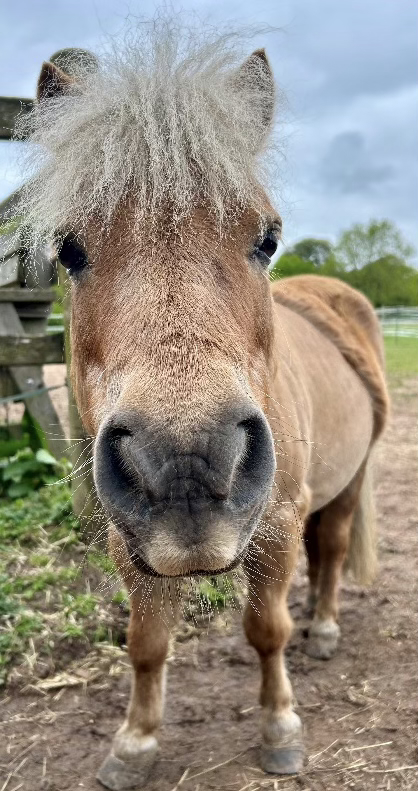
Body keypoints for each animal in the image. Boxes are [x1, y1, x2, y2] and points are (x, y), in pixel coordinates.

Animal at [18, 24, 389, 790]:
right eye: (69, 249)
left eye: (267, 238)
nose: (185, 464)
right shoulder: (129, 543)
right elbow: (146, 643)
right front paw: (134, 744)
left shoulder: (274, 525)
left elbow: (265, 630)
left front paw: (281, 729)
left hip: (347, 484)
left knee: (335, 550)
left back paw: (324, 627)